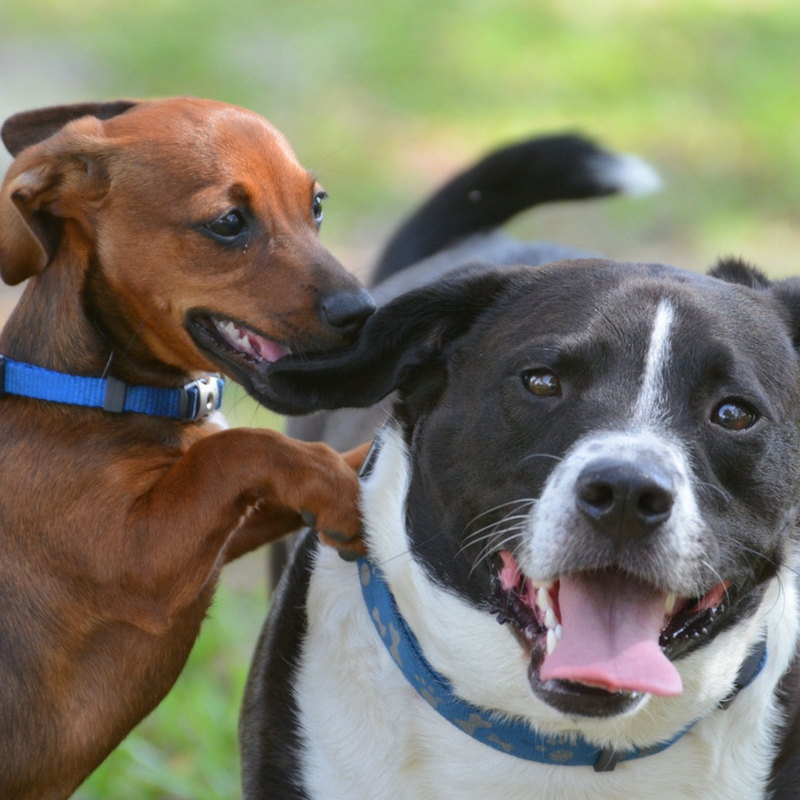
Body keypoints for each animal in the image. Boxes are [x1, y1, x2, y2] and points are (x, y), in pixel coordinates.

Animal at [0, 100, 376, 800]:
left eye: (316, 206)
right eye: (228, 223)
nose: (364, 312)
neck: (95, 391)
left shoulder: (222, 532)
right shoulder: (138, 558)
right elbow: (235, 449)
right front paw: (338, 490)